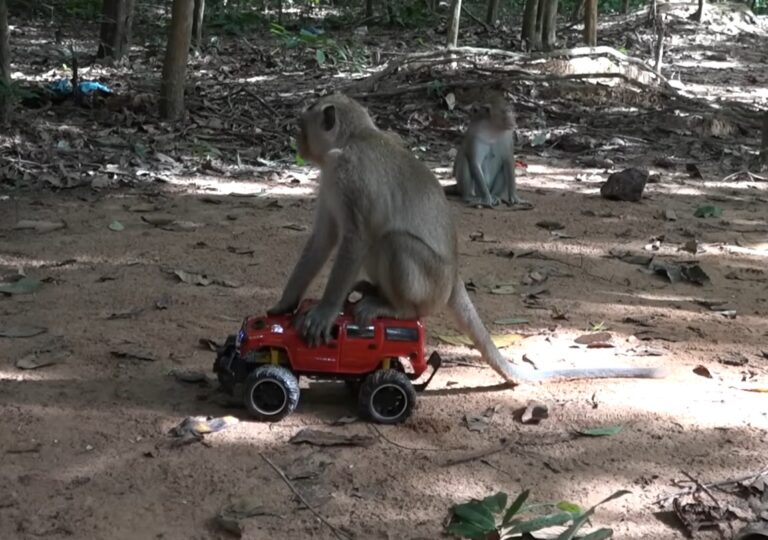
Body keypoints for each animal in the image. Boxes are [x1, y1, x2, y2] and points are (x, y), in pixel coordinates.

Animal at [266, 94, 665, 386]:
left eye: (302, 125)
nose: (295, 140)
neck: (355, 138)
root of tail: (456, 274)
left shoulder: (349, 175)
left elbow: (355, 239)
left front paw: (323, 313)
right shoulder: (331, 181)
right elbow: (323, 238)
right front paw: (285, 305)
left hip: (431, 282)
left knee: (393, 241)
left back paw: (397, 308)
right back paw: (373, 291)